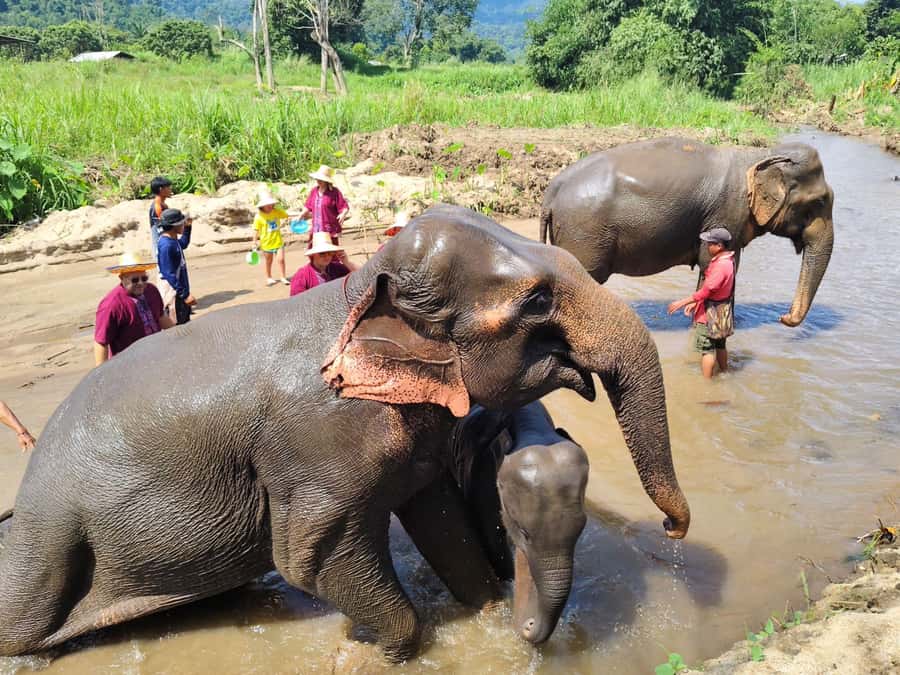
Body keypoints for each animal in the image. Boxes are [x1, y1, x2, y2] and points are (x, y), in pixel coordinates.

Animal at [0, 204, 690, 662]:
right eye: (539, 301)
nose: (672, 529)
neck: (355, 295)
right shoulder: (317, 448)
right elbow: (311, 556)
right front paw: (384, 651)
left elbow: (440, 521)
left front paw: (484, 613)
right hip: (54, 542)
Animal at [540, 137, 835, 327]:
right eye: (819, 202)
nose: (783, 318)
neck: (758, 155)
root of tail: (552, 190)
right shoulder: (726, 215)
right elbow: (718, 264)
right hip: (584, 235)